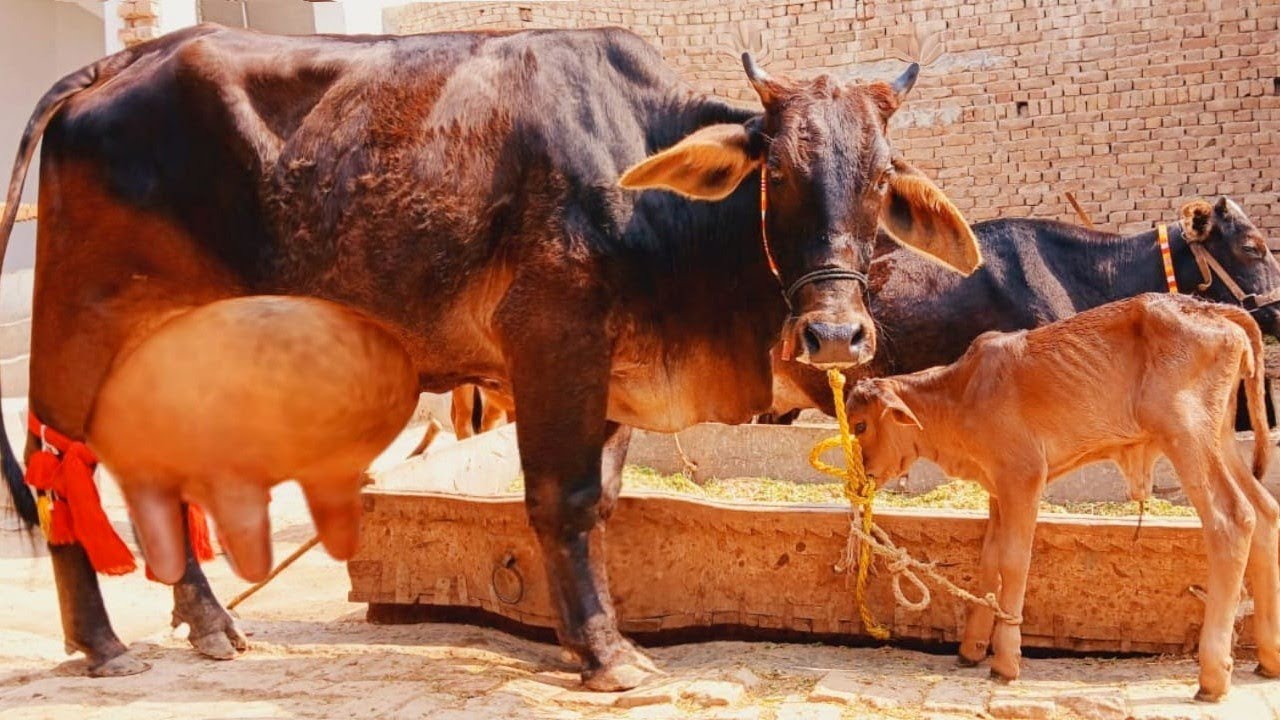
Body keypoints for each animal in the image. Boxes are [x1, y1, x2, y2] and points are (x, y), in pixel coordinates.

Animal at [0, 25, 980, 688]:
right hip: (86, 322)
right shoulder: (553, 339)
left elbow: (601, 501)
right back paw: (103, 643)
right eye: (777, 173)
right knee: (59, 462)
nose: (837, 335)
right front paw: (608, 656)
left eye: (881, 180)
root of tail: (117, 64)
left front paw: (580, 636)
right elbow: (563, 500)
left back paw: (208, 624)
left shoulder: (608, 372)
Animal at [844, 293, 1276, 702]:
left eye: (861, 425)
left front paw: (1005, 662)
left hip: (1186, 434)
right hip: (1219, 435)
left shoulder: (1023, 476)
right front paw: (972, 648)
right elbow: (989, 561)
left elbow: (1013, 562)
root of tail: (1210, 309)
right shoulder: (997, 488)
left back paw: (1213, 677)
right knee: (1265, 511)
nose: (860, 478)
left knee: (1232, 518)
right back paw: (1268, 659)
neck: (961, 394)